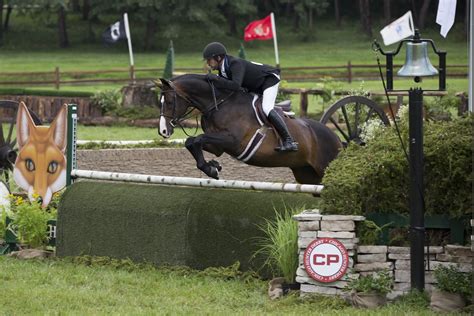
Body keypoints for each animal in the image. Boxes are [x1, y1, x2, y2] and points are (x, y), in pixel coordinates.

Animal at [156, 74, 340, 185]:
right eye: (160, 102)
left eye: (170, 102)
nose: (163, 132)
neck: (219, 104)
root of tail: (337, 139)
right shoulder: (218, 146)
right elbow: (191, 141)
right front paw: (213, 166)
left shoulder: (233, 141)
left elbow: (198, 139)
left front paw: (212, 168)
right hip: (306, 174)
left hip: (323, 167)